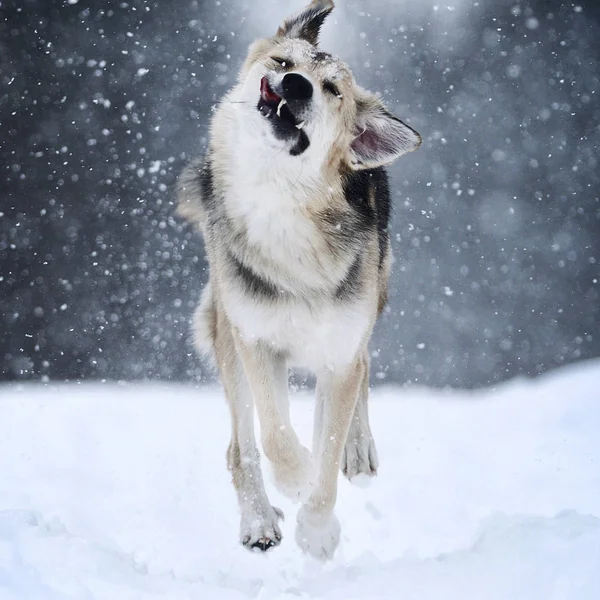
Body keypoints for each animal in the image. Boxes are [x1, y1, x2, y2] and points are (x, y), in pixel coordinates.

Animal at [178, 1, 422, 564]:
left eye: (332, 89)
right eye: (282, 61)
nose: (294, 85)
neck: (282, 205)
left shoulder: (341, 348)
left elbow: (330, 445)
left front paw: (317, 526)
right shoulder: (255, 340)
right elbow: (274, 435)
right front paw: (295, 478)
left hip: (367, 305)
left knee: (358, 377)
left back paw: (357, 448)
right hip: (228, 333)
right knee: (241, 445)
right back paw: (259, 519)